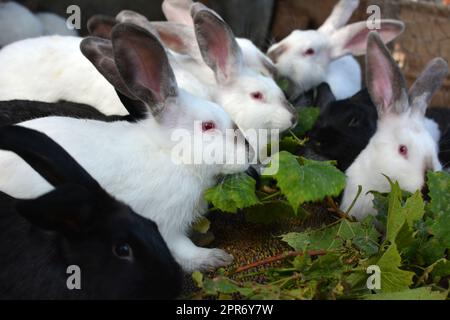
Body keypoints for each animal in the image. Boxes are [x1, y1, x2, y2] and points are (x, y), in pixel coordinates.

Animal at [0, 23, 248, 272]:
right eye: (208, 126)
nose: (249, 153)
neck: (169, 154)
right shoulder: (165, 222)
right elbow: (182, 247)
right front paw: (213, 258)